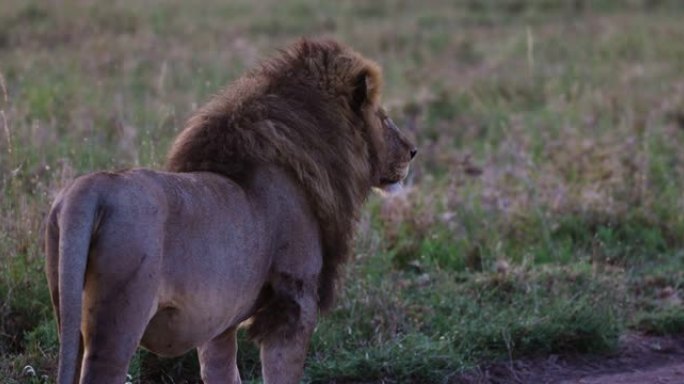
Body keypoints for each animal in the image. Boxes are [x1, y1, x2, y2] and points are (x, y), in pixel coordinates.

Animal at [46, 36, 416, 384]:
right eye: (383, 117)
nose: (413, 150)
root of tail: (90, 188)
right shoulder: (294, 303)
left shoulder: (219, 321)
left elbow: (221, 370)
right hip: (119, 320)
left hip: (67, 311)